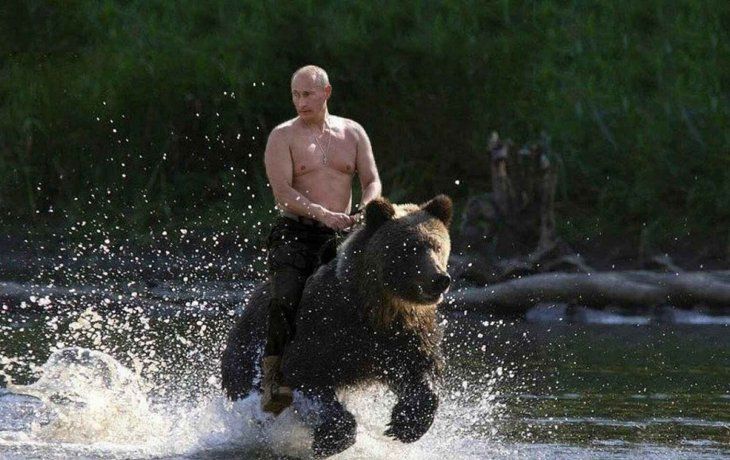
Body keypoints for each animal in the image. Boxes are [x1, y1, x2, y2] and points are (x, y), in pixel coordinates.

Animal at [221, 194, 452, 457]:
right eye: (410, 248)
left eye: (437, 246)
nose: (440, 279)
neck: (376, 307)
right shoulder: (325, 325)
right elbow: (306, 372)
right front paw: (331, 439)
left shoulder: (403, 333)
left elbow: (420, 369)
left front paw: (405, 424)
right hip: (249, 349)